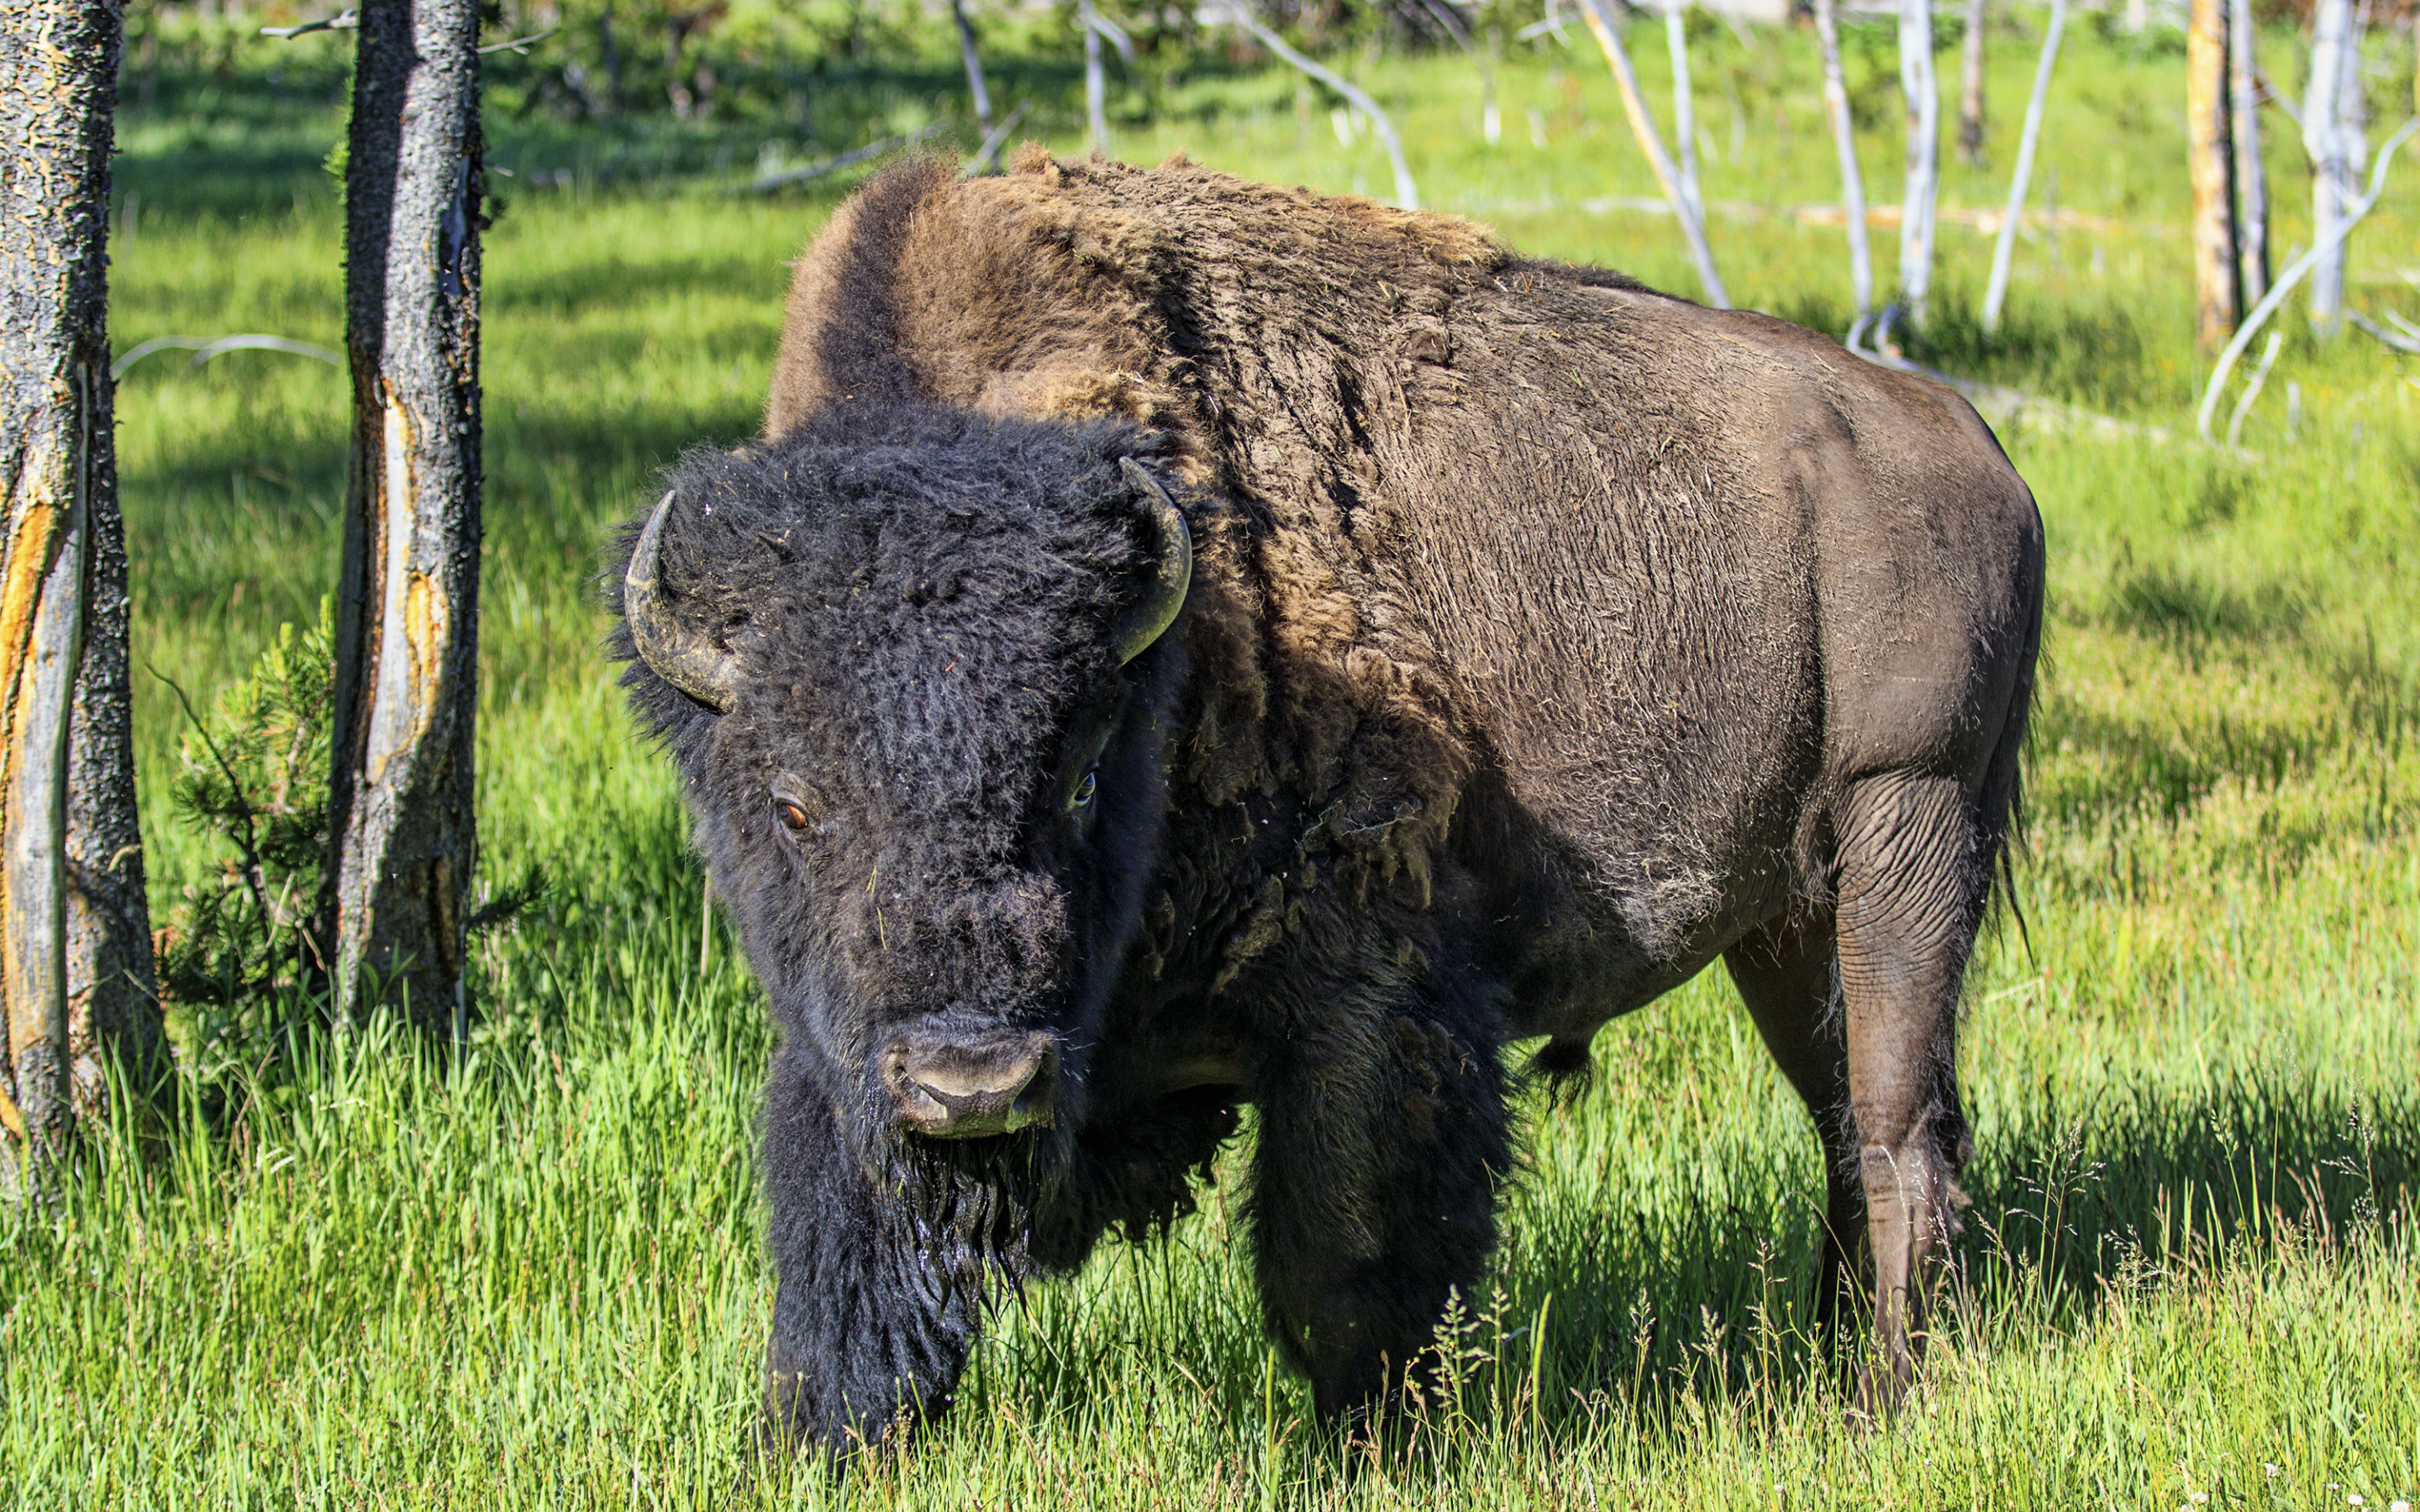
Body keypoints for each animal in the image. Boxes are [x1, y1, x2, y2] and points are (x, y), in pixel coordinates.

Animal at [609, 153, 2042, 1452]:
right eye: (793, 806)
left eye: (1081, 773)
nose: (975, 1082)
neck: (1179, 634)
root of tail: (1975, 445)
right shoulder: (836, 1050)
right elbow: (839, 1275)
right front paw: (816, 1443)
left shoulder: (1364, 1006)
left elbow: (1342, 1268)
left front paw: (1375, 1442)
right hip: (1787, 918)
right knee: (1847, 1122)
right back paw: (1833, 1365)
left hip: (1912, 828)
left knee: (1906, 1133)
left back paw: (1885, 1404)